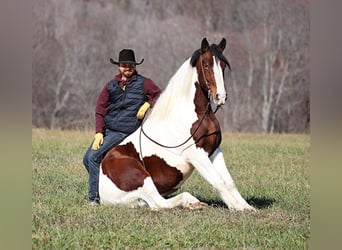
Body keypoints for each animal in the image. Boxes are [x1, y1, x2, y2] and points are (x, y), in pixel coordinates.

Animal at [97, 37, 255, 211]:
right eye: (206, 65)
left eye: (223, 66)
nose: (220, 96)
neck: (194, 115)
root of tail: (102, 195)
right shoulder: (197, 155)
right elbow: (218, 181)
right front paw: (236, 207)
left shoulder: (214, 150)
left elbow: (229, 182)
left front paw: (245, 207)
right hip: (142, 178)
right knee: (159, 203)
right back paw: (192, 202)